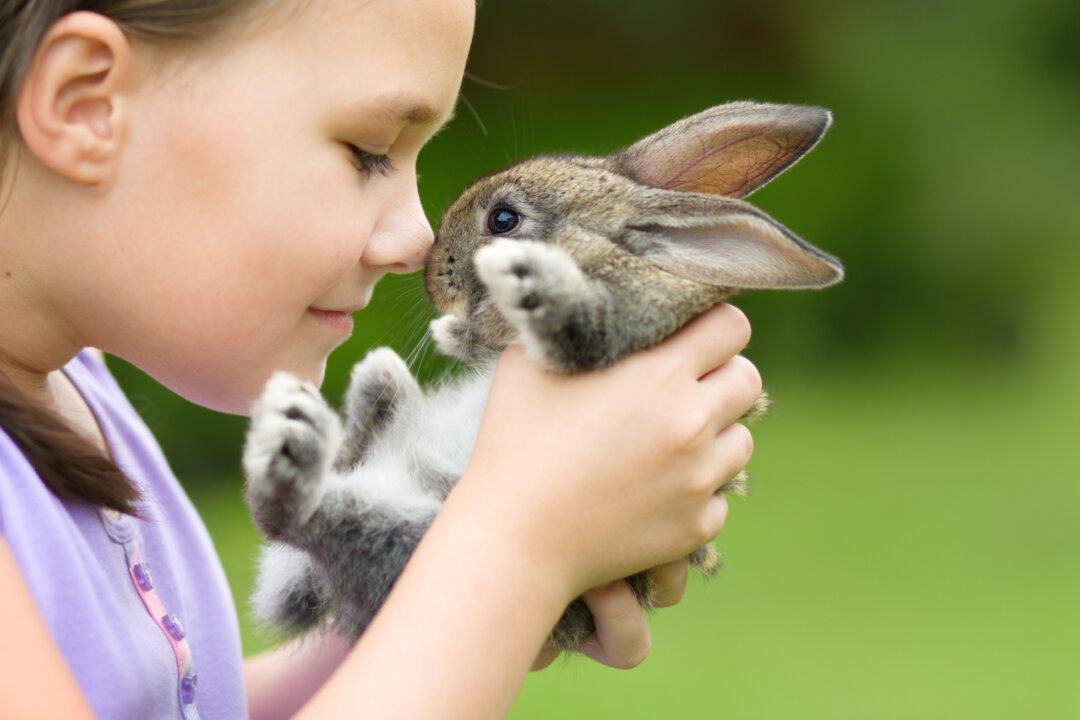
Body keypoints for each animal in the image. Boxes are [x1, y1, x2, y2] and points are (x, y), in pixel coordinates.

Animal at [242, 100, 844, 652]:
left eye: (504, 220)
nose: (434, 274)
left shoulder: (616, 327)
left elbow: (572, 320)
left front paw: (520, 284)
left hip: (425, 541)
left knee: (298, 516)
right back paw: (363, 392)